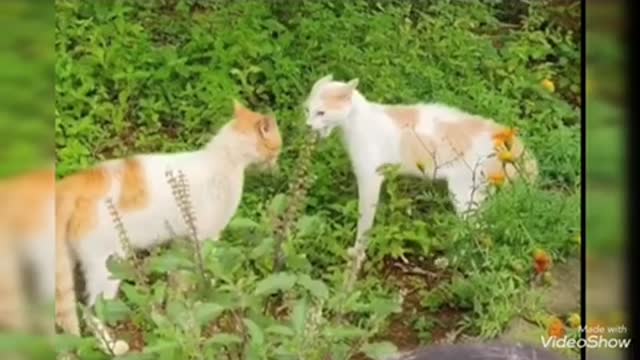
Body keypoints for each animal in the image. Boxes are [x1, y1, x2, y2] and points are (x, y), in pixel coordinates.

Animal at [55, 100, 282, 344]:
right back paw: (111, 345)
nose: (276, 164)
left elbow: (178, 278)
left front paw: (177, 306)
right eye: (277, 146)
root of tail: (74, 181)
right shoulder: (205, 239)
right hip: (107, 266)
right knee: (90, 312)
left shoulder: (181, 242)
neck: (225, 160)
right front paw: (200, 298)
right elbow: (201, 273)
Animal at [308, 74, 536, 248]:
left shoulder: (370, 179)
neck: (356, 122)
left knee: (478, 230)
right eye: (307, 111)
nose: (308, 125)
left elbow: (364, 221)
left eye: (321, 113)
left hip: (463, 195)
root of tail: (504, 134)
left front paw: (357, 252)